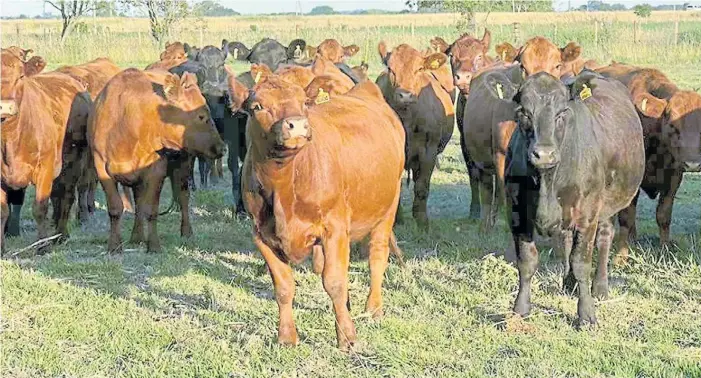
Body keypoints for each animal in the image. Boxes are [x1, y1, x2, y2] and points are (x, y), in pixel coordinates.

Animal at [1, 72, 91, 252]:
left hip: (75, 161)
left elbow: (40, 207)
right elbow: (3, 210)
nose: (6, 107)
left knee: (68, 196)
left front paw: (42, 246)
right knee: (58, 196)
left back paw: (62, 235)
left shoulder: (44, 168)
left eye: (20, 75)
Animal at [89, 69, 223, 252]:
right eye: (201, 116)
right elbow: (116, 208)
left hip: (183, 165)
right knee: (139, 203)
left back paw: (186, 232)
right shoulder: (101, 168)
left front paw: (153, 245)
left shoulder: (156, 171)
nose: (221, 147)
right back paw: (136, 236)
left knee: (183, 197)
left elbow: (151, 210)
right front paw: (114, 246)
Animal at [378, 42, 454, 229]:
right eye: (390, 68)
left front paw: (422, 221)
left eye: (419, 68)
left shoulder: (429, 151)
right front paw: (396, 220)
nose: (405, 95)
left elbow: (422, 186)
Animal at [504, 72, 644, 326]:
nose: (544, 154)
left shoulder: (588, 214)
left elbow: (581, 262)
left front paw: (586, 314)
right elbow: (527, 261)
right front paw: (520, 309)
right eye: (523, 112)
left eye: (561, 113)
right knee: (567, 241)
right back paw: (569, 284)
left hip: (607, 207)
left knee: (604, 239)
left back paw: (600, 287)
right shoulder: (516, 212)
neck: (547, 181)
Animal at [592, 64, 700, 262]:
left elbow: (663, 215)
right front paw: (621, 256)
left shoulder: (674, 177)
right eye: (672, 125)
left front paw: (664, 249)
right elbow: (626, 217)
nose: (693, 164)